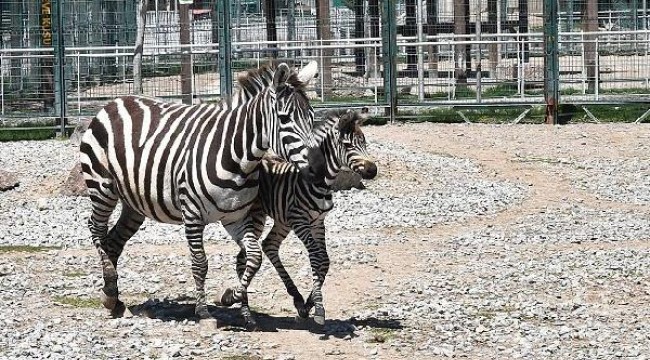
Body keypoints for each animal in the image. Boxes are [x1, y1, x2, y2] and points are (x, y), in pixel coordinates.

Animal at [79, 62, 320, 330]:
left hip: (135, 203)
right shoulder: (193, 215)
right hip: (102, 187)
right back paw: (110, 287)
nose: (316, 167)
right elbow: (200, 263)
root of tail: (116, 101)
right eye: (285, 119)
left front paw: (233, 301)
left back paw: (113, 298)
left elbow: (254, 258)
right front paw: (204, 312)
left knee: (113, 241)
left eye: (312, 118)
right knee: (96, 228)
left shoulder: (237, 218)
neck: (239, 157)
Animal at [228, 107, 378, 326]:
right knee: (245, 256)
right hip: (258, 215)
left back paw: (295, 298)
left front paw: (308, 304)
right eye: (347, 145)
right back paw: (245, 312)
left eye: (364, 142)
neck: (320, 182)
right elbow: (316, 257)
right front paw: (319, 308)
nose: (372, 170)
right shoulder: (301, 221)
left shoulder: (318, 222)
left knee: (268, 245)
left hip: (282, 220)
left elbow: (325, 260)